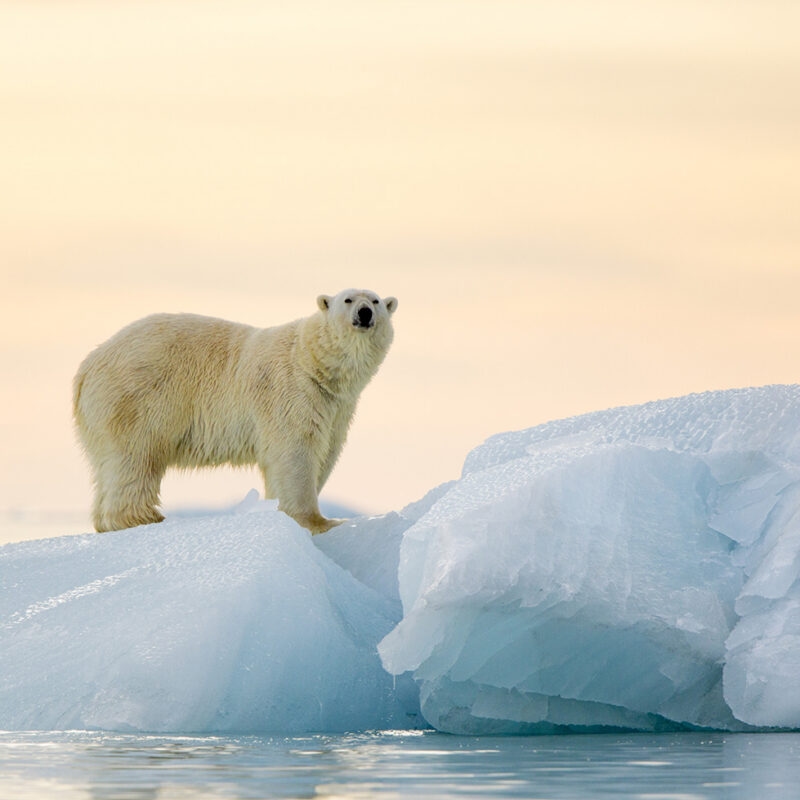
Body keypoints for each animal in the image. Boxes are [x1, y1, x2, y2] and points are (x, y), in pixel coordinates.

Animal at [73, 289, 398, 535]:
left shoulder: (337, 407)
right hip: (138, 398)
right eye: (348, 299)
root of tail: (87, 366)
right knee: (136, 456)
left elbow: (326, 450)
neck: (312, 362)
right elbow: (296, 451)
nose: (365, 313)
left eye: (376, 300)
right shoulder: (291, 392)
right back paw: (145, 518)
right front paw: (320, 521)